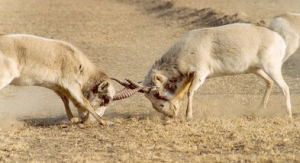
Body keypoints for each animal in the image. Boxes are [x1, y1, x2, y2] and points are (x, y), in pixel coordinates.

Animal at [0, 33, 131, 125]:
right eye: (107, 99)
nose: (89, 121)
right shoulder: (72, 85)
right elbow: (85, 102)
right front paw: (105, 122)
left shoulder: (57, 86)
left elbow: (66, 100)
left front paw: (74, 119)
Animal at [120, 23, 292, 121]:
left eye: (158, 95)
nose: (170, 116)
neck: (187, 48)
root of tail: (280, 39)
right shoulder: (190, 76)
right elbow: (185, 91)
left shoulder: (200, 73)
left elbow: (190, 92)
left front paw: (189, 117)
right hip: (256, 69)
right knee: (269, 82)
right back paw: (259, 110)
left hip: (272, 67)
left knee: (285, 87)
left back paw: (288, 115)